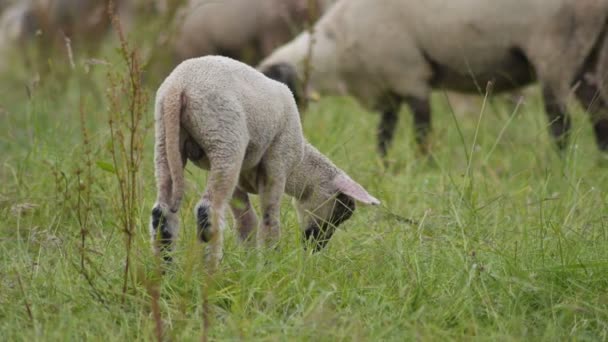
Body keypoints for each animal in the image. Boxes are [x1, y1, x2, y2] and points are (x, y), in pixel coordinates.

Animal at [151, 55, 380, 270]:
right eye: (343, 210)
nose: (316, 247)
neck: (300, 165)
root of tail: (179, 86)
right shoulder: (277, 163)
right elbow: (270, 219)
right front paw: (270, 263)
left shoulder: (240, 178)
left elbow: (247, 222)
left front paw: (250, 263)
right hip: (225, 139)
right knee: (207, 211)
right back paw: (209, 271)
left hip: (166, 140)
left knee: (161, 213)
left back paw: (165, 270)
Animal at [258, 0, 608, 156]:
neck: (337, 48)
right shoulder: (389, 86)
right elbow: (384, 135)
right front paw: (385, 166)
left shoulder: (410, 76)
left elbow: (421, 132)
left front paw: (423, 164)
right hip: (585, 55)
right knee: (598, 110)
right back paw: (601, 161)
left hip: (555, 50)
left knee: (560, 121)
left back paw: (560, 164)